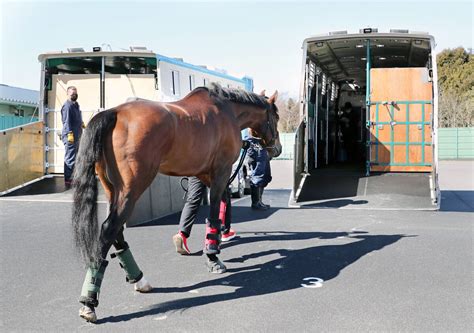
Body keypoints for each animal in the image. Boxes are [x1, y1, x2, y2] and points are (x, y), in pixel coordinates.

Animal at [71, 81, 280, 320]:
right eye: (277, 116)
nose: (277, 149)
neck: (228, 111)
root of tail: (113, 112)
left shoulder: (205, 175)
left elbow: (222, 204)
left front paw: (217, 240)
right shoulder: (221, 171)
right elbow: (214, 210)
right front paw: (213, 257)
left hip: (112, 189)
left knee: (116, 231)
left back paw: (139, 279)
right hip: (131, 190)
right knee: (109, 229)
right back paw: (89, 301)